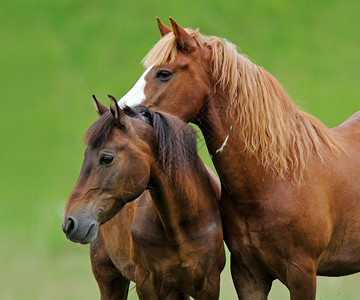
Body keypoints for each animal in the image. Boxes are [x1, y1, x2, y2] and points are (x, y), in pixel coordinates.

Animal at [62, 95, 225, 300]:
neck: (181, 227)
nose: (69, 223)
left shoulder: (208, 286)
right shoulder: (147, 286)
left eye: (106, 158)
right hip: (110, 280)